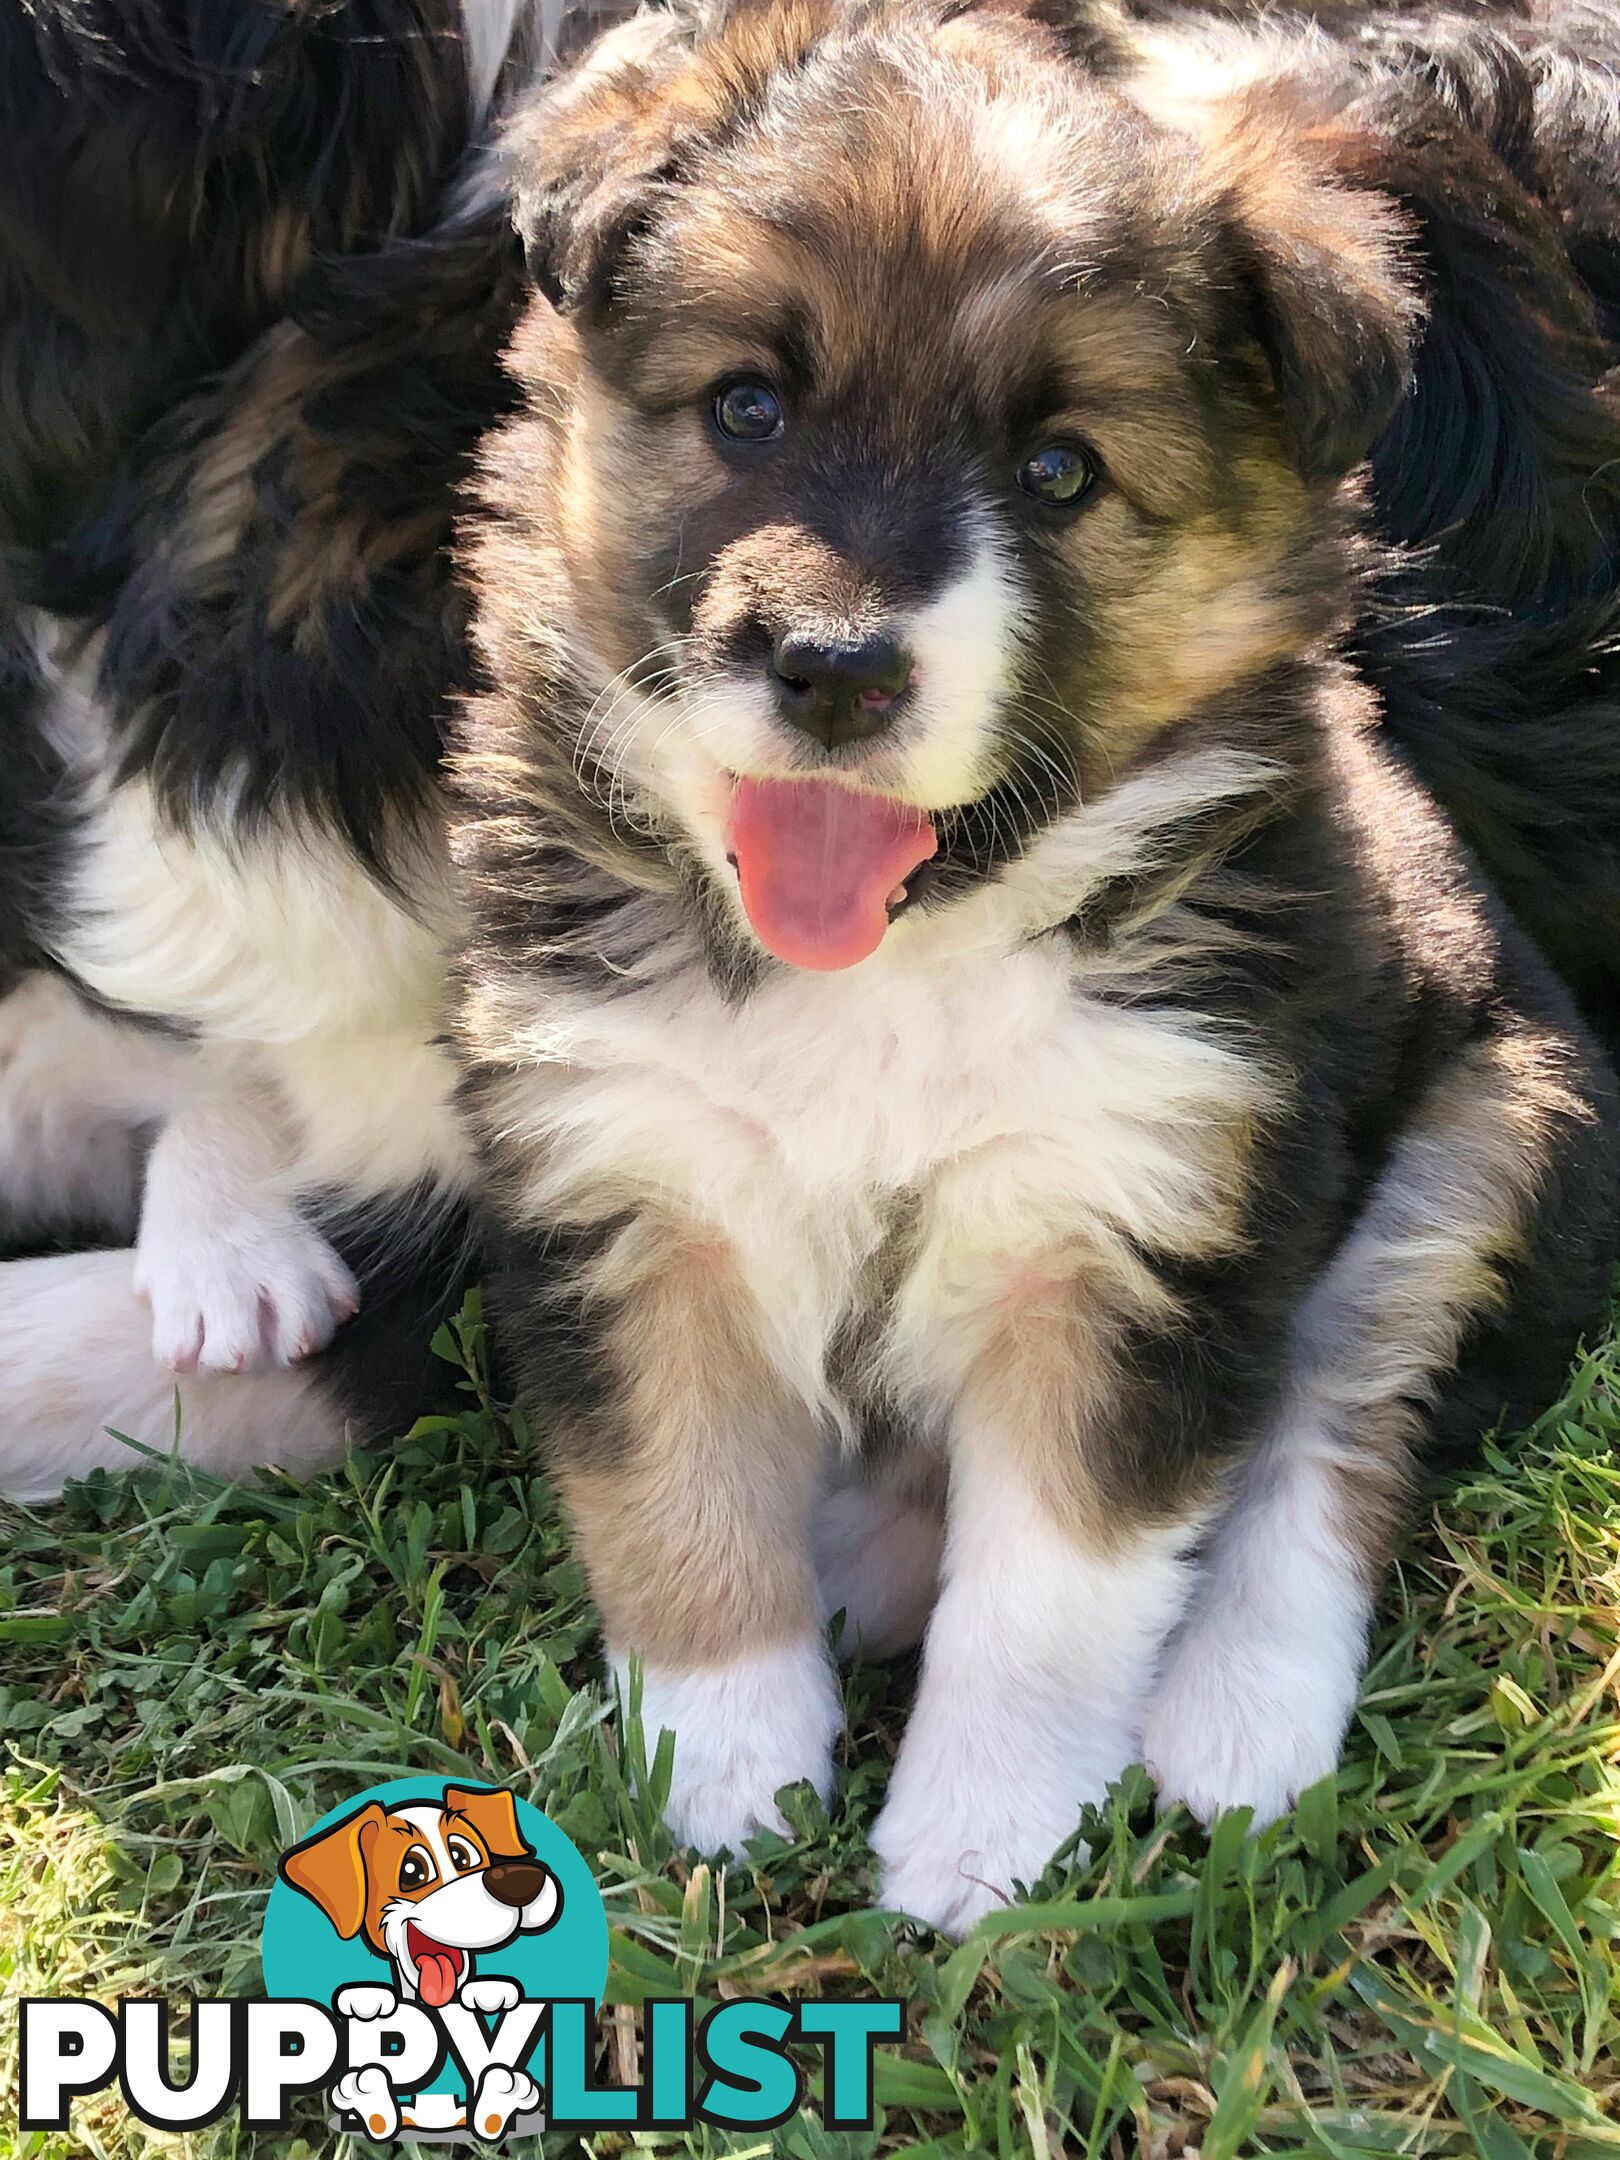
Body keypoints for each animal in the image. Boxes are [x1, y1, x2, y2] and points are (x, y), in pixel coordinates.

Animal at [451, 0, 1620, 1935]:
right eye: (749, 405)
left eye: (1059, 469)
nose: (832, 667)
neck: (894, 962)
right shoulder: (624, 1181)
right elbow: (675, 1504)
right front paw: (721, 1778)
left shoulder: (1141, 1226)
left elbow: (1059, 1589)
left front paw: (977, 1854)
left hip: (1485, 1130)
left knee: (1337, 1431)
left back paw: (1236, 1721)